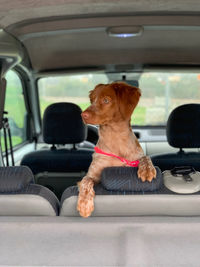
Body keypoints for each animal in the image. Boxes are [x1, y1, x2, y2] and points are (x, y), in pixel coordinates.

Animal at [76, 82, 156, 219]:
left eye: (106, 100)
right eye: (92, 100)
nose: (83, 115)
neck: (116, 138)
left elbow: (145, 157)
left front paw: (147, 170)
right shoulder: (92, 174)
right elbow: (86, 180)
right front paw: (84, 204)